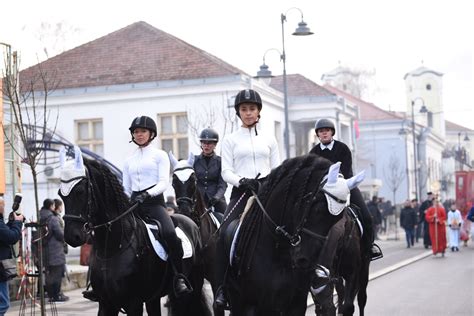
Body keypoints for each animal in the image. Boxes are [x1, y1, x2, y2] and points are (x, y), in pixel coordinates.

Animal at [57, 148, 211, 316]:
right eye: (60, 194)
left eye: (79, 191)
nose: (72, 236)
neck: (113, 246)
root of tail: (189, 220)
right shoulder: (106, 303)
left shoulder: (133, 303)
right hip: (155, 297)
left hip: (195, 283)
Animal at [169, 154, 223, 316]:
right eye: (174, 181)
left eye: (193, 180)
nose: (185, 211)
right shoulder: (194, 276)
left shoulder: (215, 276)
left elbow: (217, 306)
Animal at [224, 154, 364, 314]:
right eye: (317, 209)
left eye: (337, 218)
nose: (305, 260)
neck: (278, 249)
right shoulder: (257, 305)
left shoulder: (295, 304)